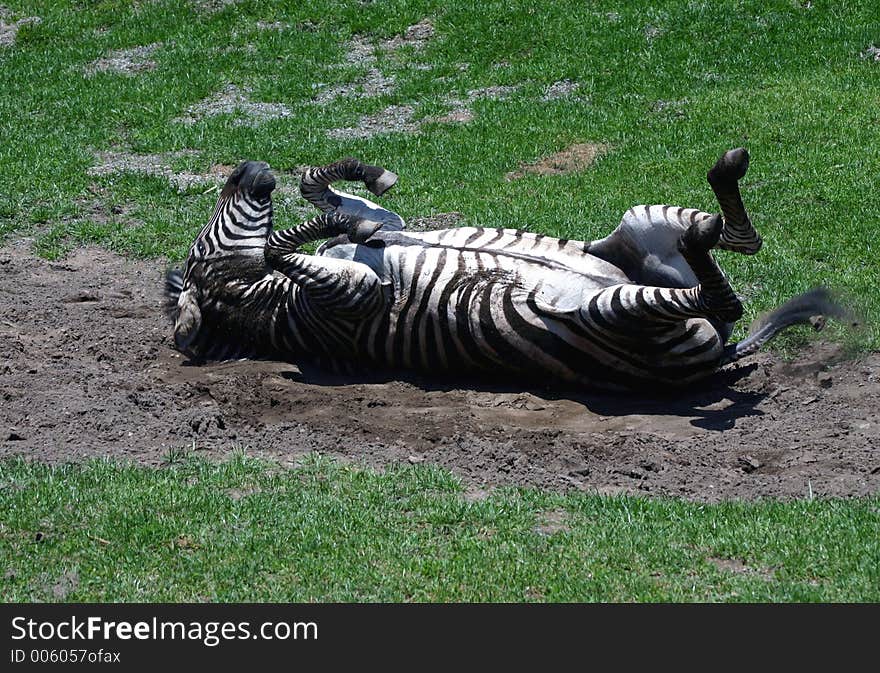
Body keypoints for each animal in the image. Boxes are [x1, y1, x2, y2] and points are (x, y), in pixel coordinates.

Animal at [163, 147, 844, 388]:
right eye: (203, 249)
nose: (246, 168)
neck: (275, 300)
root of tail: (723, 350)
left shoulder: (362, 244)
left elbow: (321, 190)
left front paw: (363, 191)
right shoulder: (348, 301)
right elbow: (282, 243)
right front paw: (346, 227)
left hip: (638, 224)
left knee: (736, 243)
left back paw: (721, 186)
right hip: (610, 311)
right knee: (721, 296)